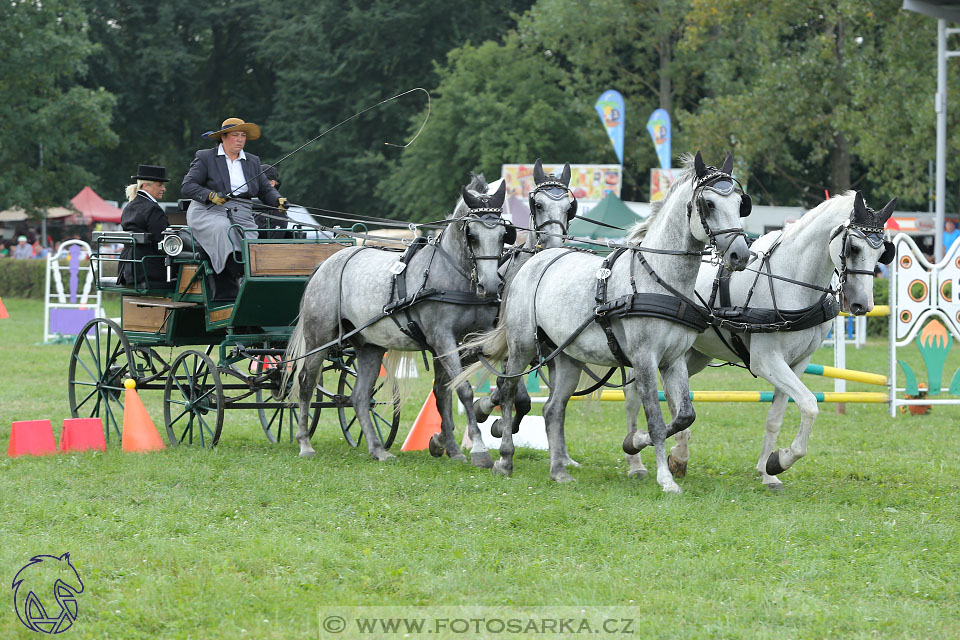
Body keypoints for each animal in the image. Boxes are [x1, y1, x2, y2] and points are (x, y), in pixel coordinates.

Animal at [282, 178, 512, 462]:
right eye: (473, 235)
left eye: (503, 235)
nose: (489, 286)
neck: (451, 275)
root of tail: (326, 263)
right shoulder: (443, 339)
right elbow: (462, 389)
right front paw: (478, 449)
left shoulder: (471, 340)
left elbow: (446, 392)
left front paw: (451, 447)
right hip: (319, 339)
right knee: (306, 383)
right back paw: (305, 443)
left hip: (369, 345)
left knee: (359, 396)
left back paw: (377, 449)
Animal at [462, 152, 752, 492]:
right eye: (708, 203)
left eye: (740, 202)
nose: (740, 254)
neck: (659, 277)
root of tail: (535, 260)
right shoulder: (644, 359)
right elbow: (655, 419)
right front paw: (664, 477)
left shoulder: (674, 360)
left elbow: (684, 415)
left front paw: (634, 442)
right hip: (521, 347)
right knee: (508, 392)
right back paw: (505, 459)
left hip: (567, 358)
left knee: (553, 409)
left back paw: (558, 470)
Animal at [628, 190, 896, 490]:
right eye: (853, 248)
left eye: (883, 252)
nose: (863, 304)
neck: (790, 280)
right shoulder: (766, 361)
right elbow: (809, 405)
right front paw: (782, 459)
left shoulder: (798, 363)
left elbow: (775, 418)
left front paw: (769, 470)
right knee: (635, 396)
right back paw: (639, 460)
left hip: (693, 355)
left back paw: (675, 456)